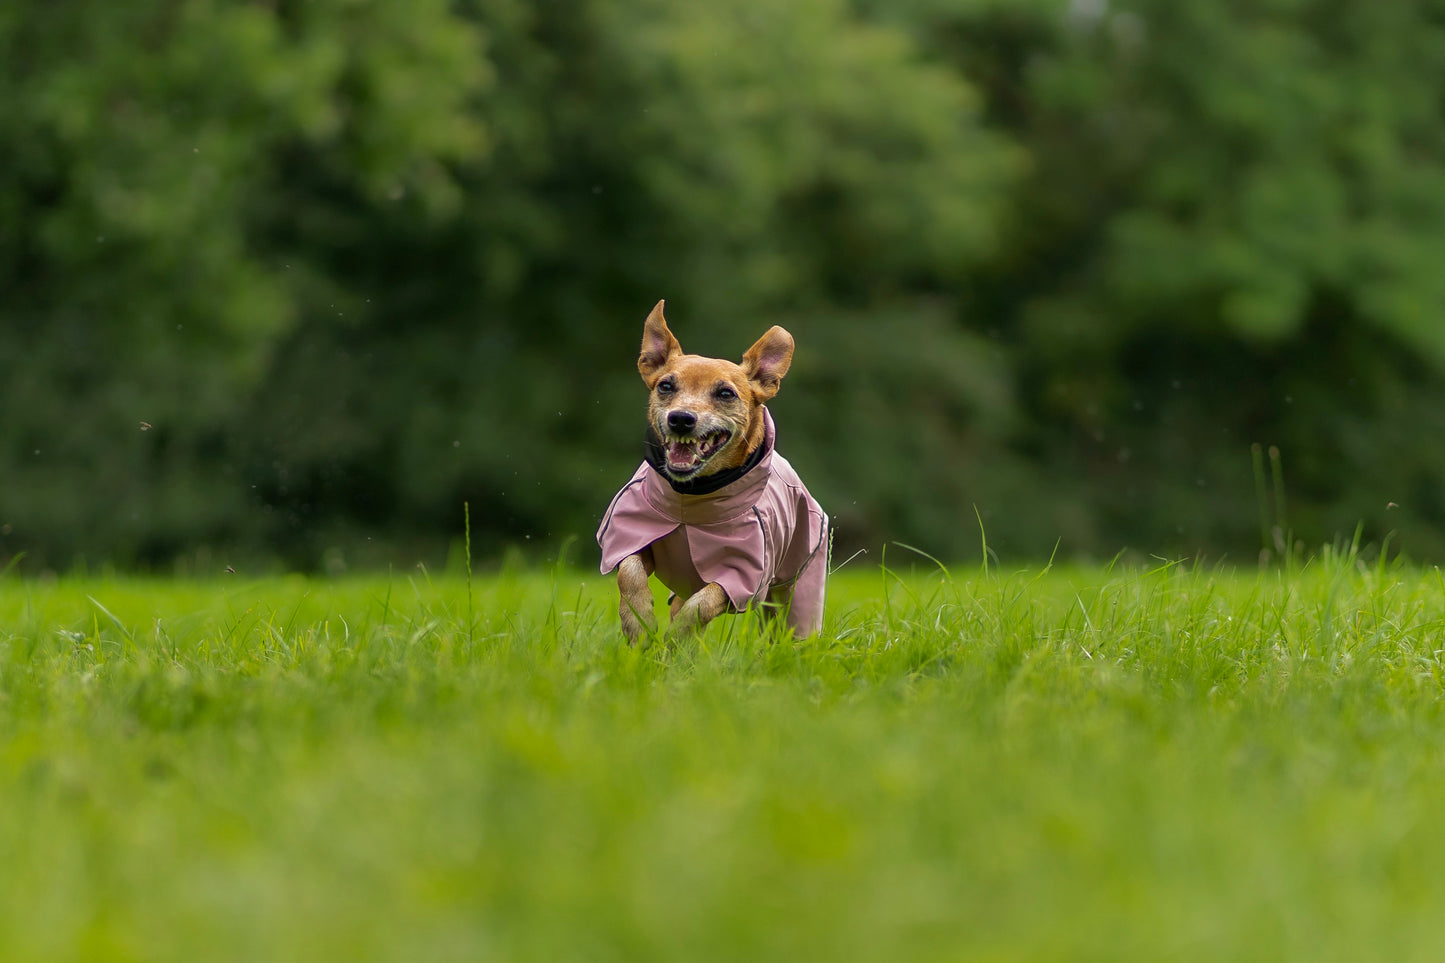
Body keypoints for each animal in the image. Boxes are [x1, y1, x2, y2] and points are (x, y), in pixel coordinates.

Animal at [595, 296, 826, 642]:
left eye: (725, 393)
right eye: (665, 386)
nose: (681, 418)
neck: (690, 501)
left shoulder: (741, 577)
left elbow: (701, 605)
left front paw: (677, 637)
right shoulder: (629, 536)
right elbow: (630, 571)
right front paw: (640, 623)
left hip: (797, 582)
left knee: (789, 620)